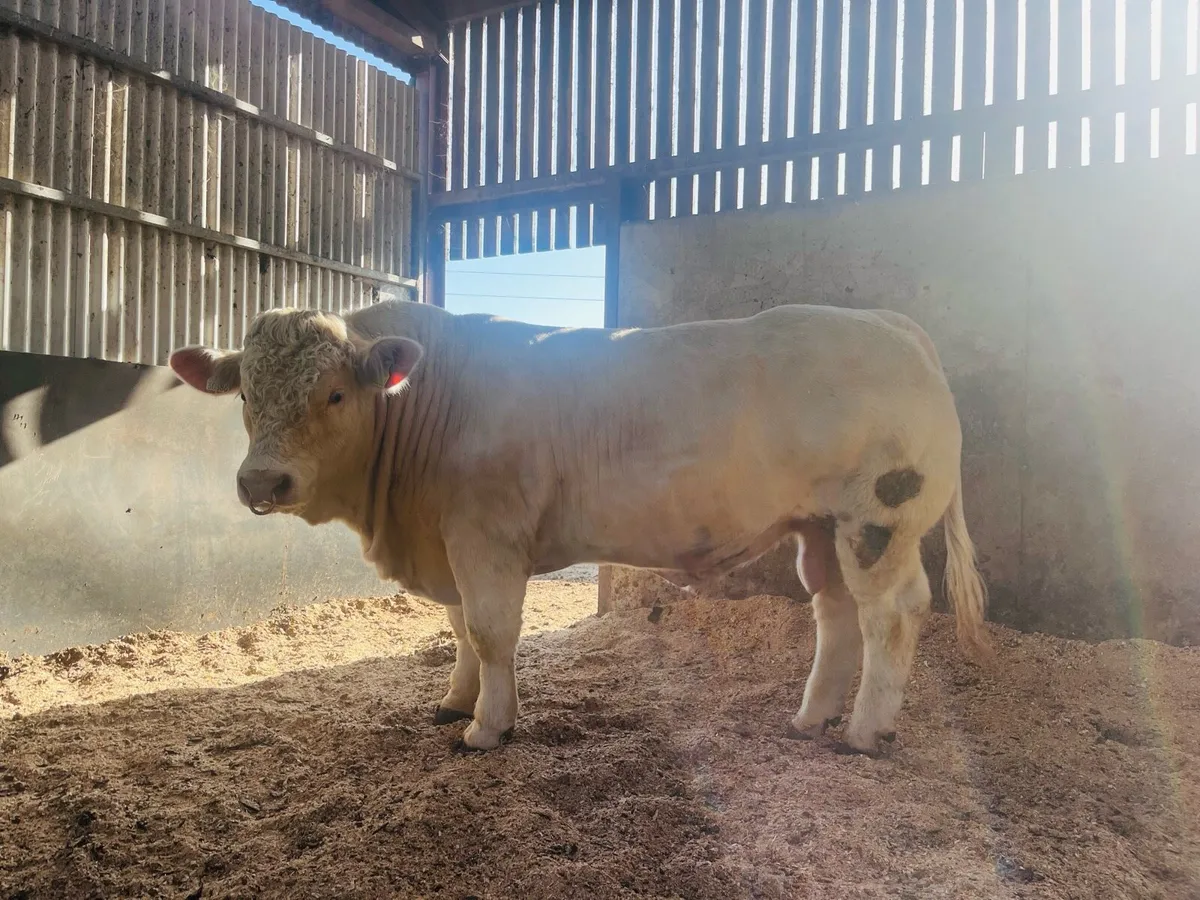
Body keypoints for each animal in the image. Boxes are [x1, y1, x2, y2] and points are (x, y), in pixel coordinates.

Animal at [169, 296, 990, 755]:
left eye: (335, 393)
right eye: (244, 392)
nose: (262, 481)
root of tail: (887, 324)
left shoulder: (486, 534)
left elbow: (491, 630)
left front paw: (488, 727)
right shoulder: (451, 541)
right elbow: (460, 626)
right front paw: (454, 700)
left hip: (878, 521)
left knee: (893, 614)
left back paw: (865, 733)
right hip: (820, 527)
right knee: (836, 612)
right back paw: (810, 719)